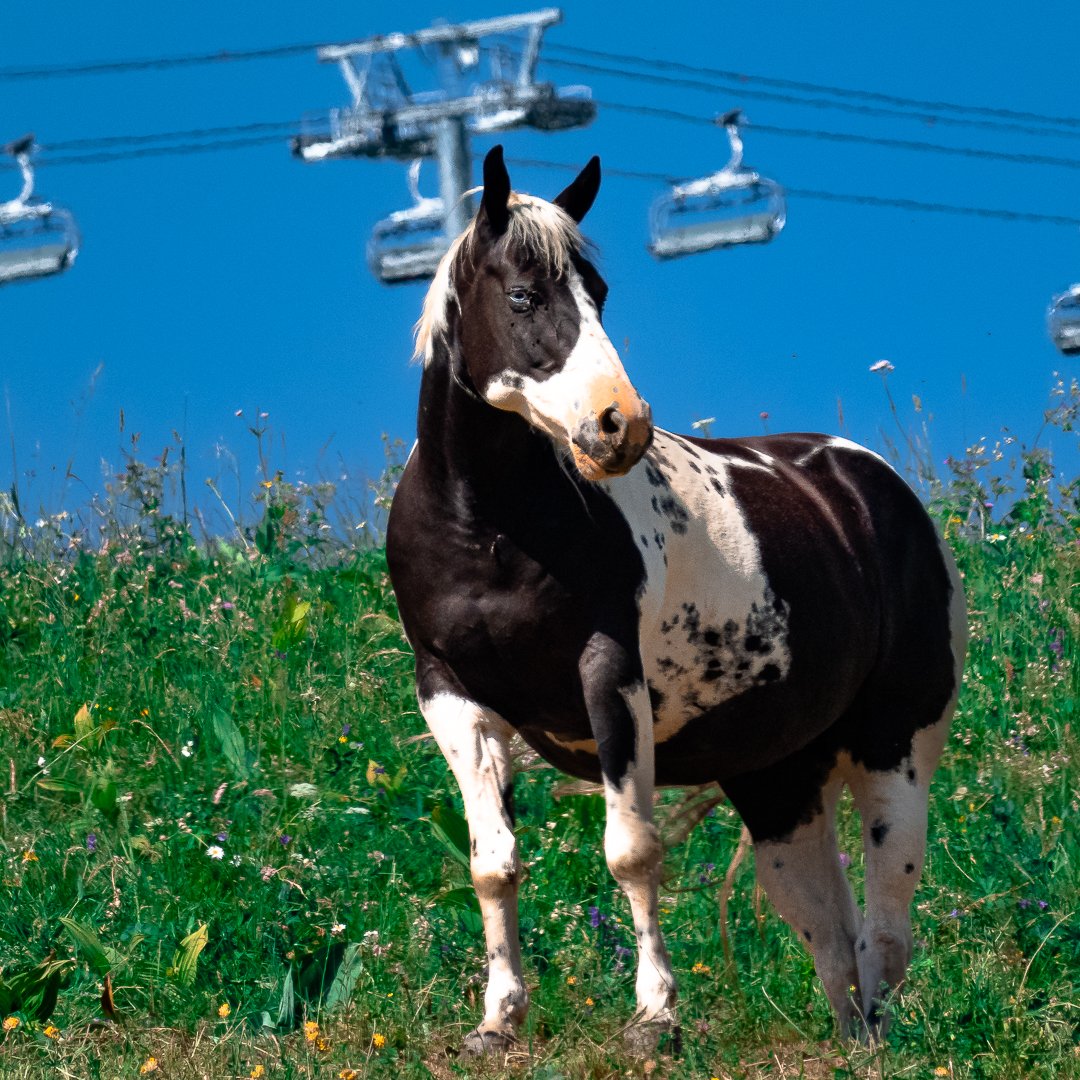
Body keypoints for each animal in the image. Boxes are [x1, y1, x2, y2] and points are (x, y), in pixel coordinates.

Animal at [386, 145, 967, 1054]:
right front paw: (498, 1020)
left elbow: (631, 851)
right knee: (824, 924)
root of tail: (872, 487)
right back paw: (852, 1038)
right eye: (524, 295)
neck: (486, 527)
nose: (619, 424)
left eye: (600, 292)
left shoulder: (608, 676)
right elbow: (493, 862)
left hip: (897, 748)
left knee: (886, 913)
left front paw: (655, 1015)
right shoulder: (451, 693)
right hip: (778, 782)